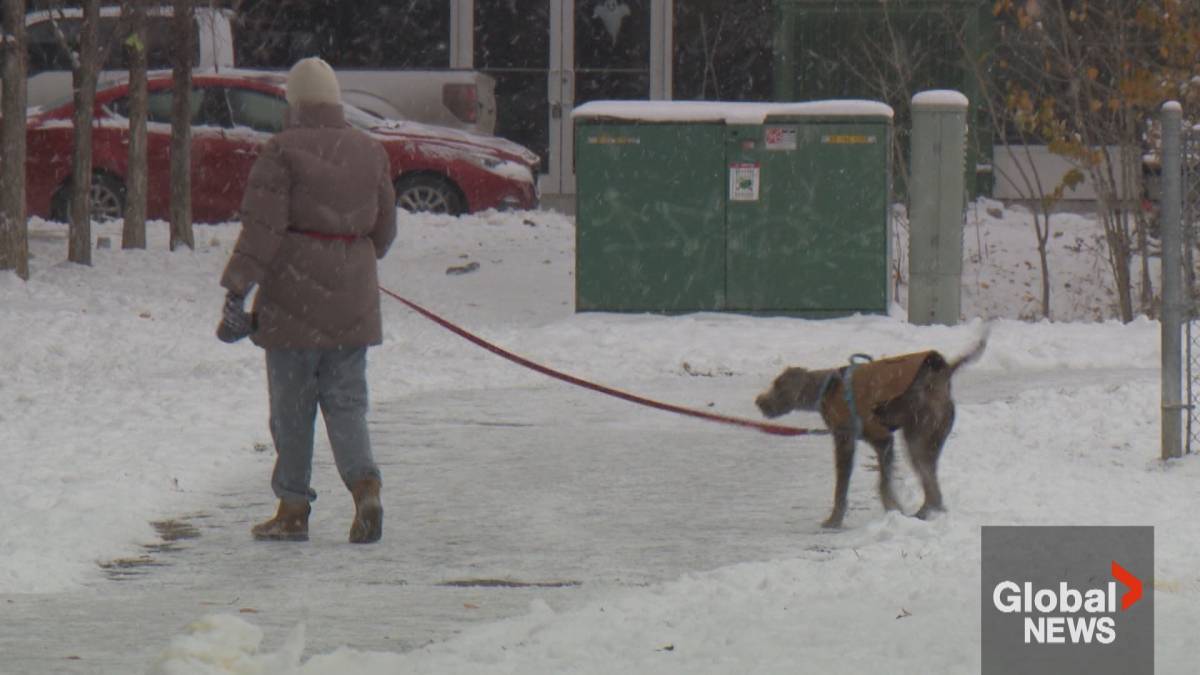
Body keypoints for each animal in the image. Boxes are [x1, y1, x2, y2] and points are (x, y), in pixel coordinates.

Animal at [753, 333, 988, 528]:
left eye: (777, 385)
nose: (759, 401)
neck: (824, 390)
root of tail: (944, 373)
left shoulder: (853, 439)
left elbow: (846, 487)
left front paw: (835, 520)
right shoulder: (879, 442)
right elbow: (884, 482)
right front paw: (893, 509)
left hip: (917, 436)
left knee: (931, 487)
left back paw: (923, 515)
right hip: (931, 440)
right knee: (933, 485)